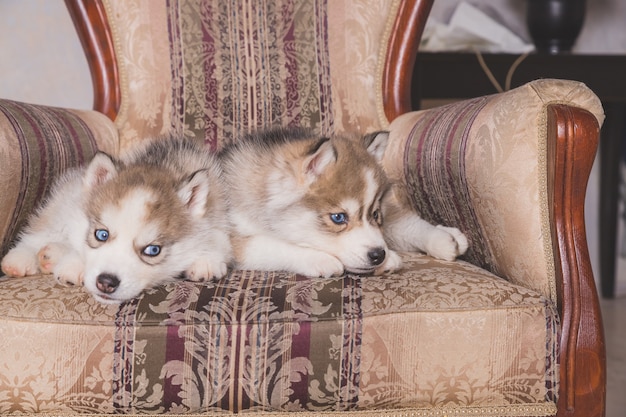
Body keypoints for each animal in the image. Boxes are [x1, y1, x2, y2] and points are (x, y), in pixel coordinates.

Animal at [219, 127, 468, 276]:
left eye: (375, 214)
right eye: (338, 218)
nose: (379, 255)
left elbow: (402, 226)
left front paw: (440, 239)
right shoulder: (234, 240)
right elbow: (274, 245)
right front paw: (320, 259)